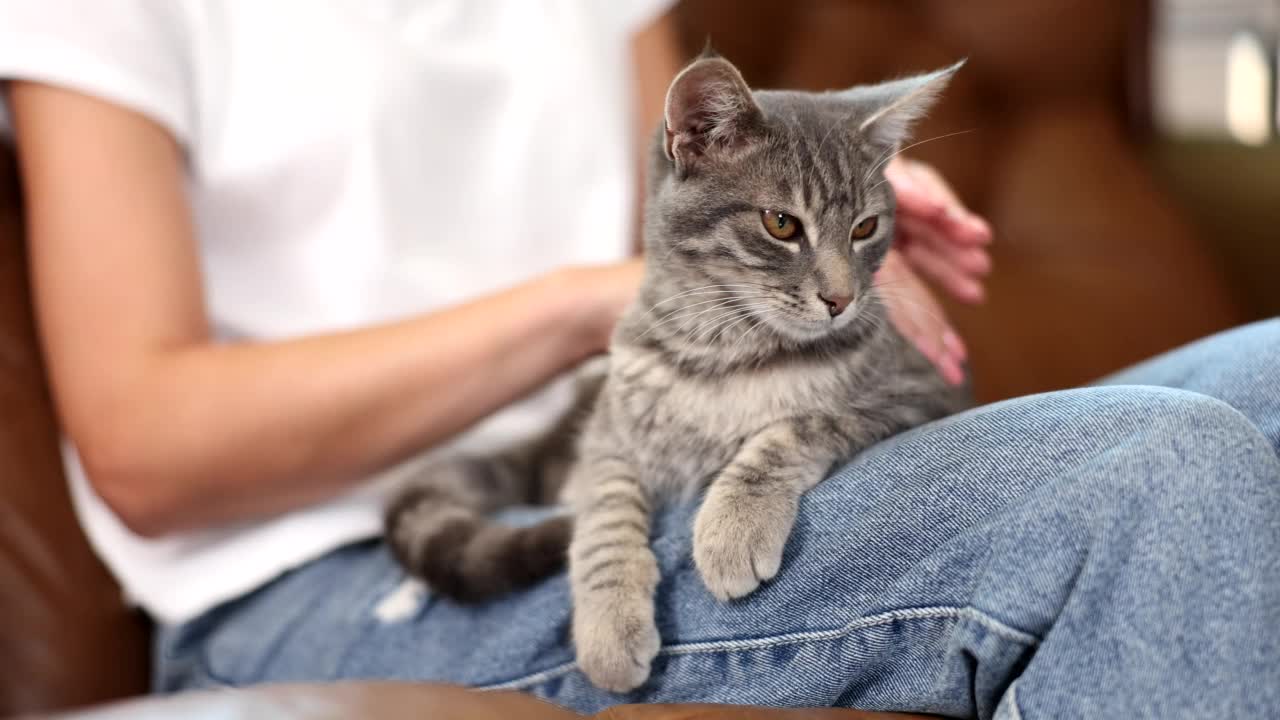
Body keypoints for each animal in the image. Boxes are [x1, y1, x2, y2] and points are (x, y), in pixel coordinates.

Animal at [384, 53, 962, 691]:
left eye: (865, 228)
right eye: (781, 224)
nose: (842, 299)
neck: (722, 352)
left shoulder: (918, 394)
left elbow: (799, 426)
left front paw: (733, 524)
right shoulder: (606, 435)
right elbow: (605, 510)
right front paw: (609, 622)